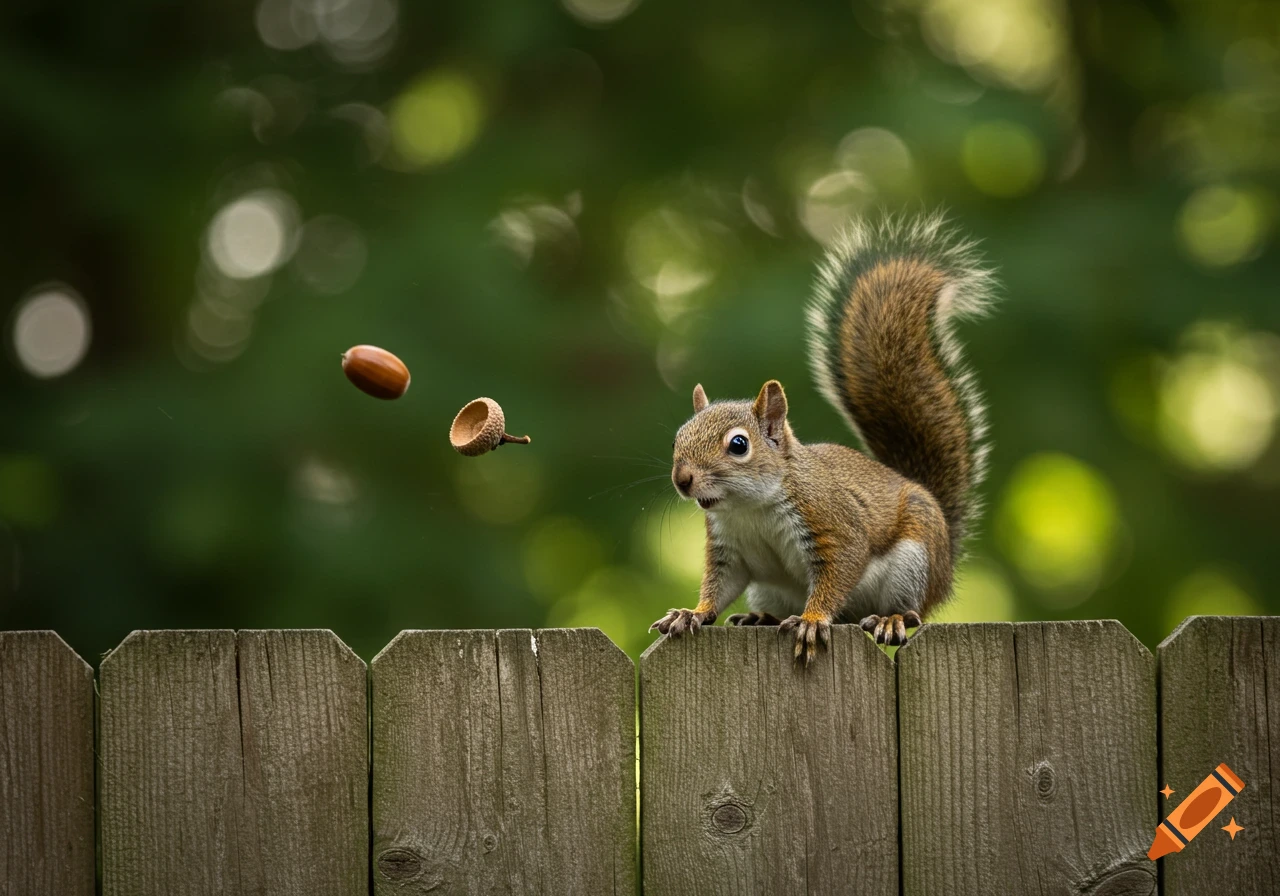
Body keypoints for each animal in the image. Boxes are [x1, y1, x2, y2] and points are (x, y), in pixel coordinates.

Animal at [650, 211, 996, 664]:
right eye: (677, 439)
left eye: (739, 444)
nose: (683, 479)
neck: (750, 509)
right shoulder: (728, 551)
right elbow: (719, 586)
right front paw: (692, 613)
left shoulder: (833, 523)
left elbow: (839, 571)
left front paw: (813, 620)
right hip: (769, 589)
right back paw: (760, 618)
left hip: (913, 562)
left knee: (910, 610)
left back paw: (891, 620)